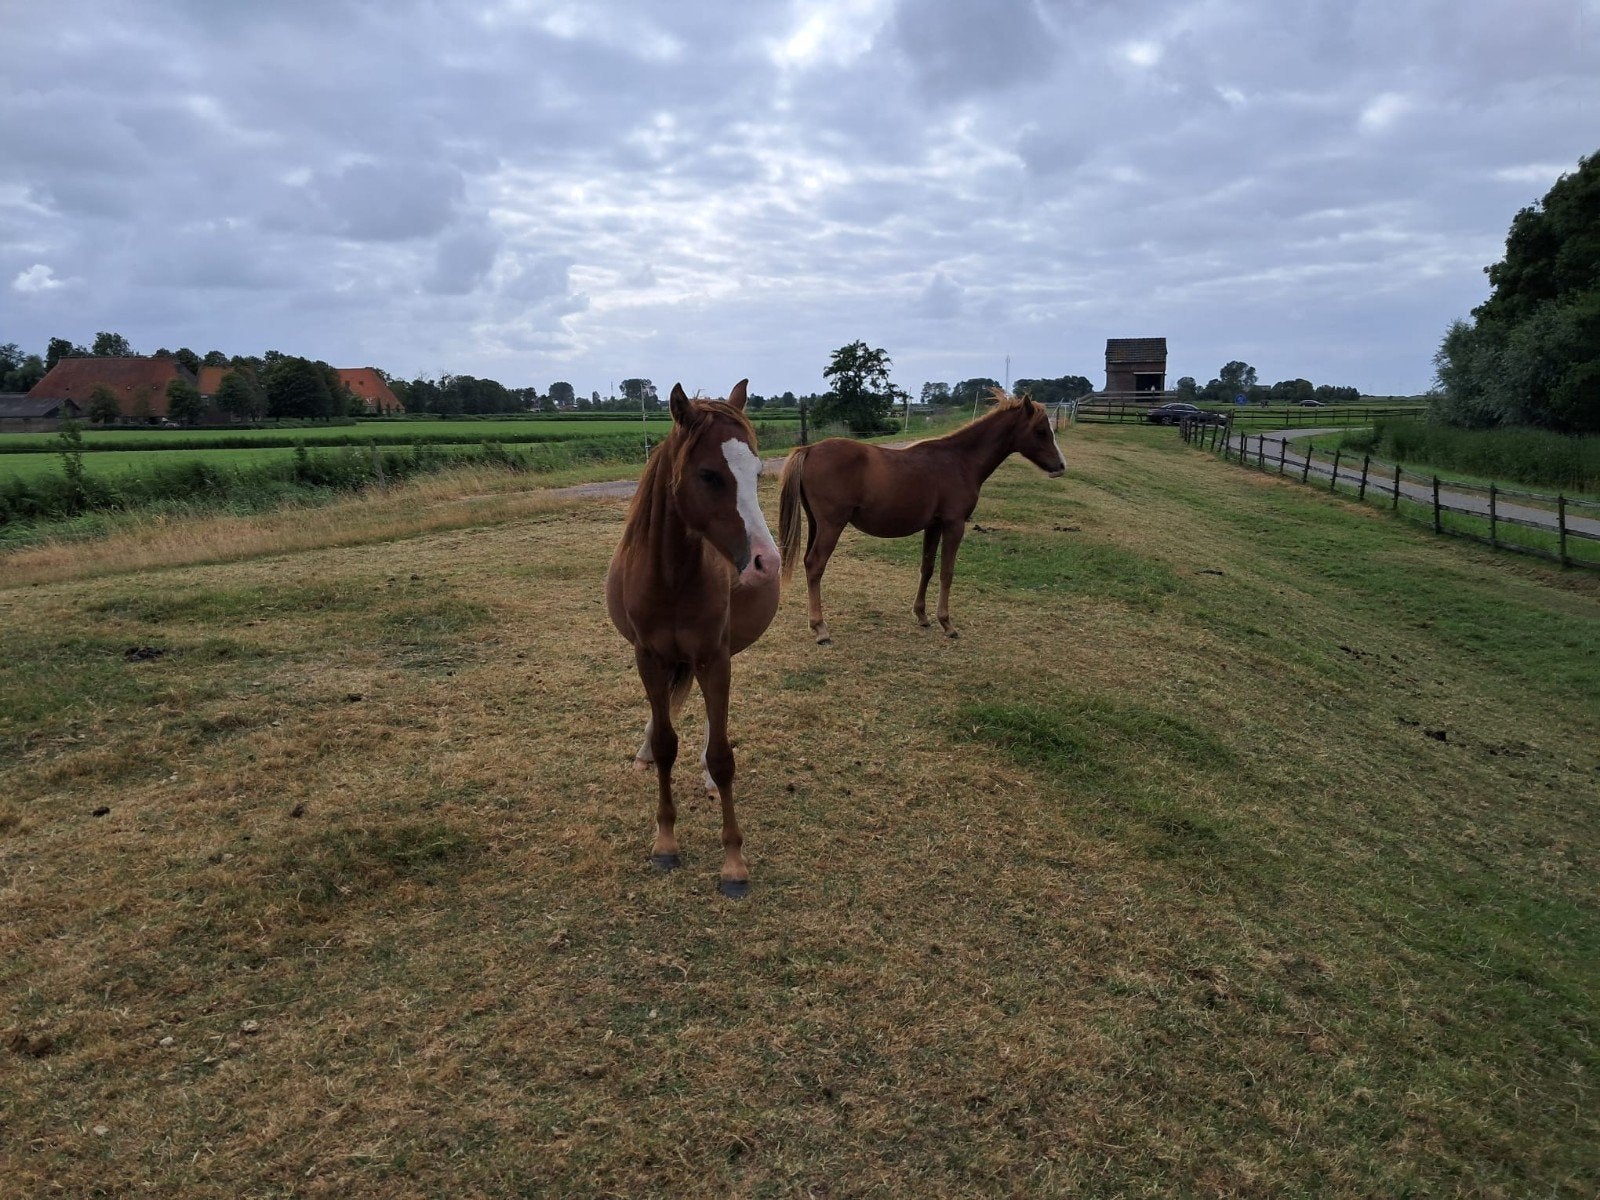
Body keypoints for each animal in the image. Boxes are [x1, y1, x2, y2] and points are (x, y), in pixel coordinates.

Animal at [605, 380, 781, 899]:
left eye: (757, 473)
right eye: (709, 475)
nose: (767, 562)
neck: (671, 579)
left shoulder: (713, 659)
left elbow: (722, 756)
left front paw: (734, 864)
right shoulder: (648, 658)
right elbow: (666, 743)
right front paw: (665, 842)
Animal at [778, 392, 1065, 644]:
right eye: (1041, 431)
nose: (1060, 466)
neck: (960, 461)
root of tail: (810, 449)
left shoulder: (934, 526)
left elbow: (927, 568)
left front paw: (922, 616)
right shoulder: (954, 525)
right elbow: (947, 572)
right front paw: (947, 623)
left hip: (816, 524)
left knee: (808, 562)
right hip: (831, 525)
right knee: (815, 565)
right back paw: (820, 629)